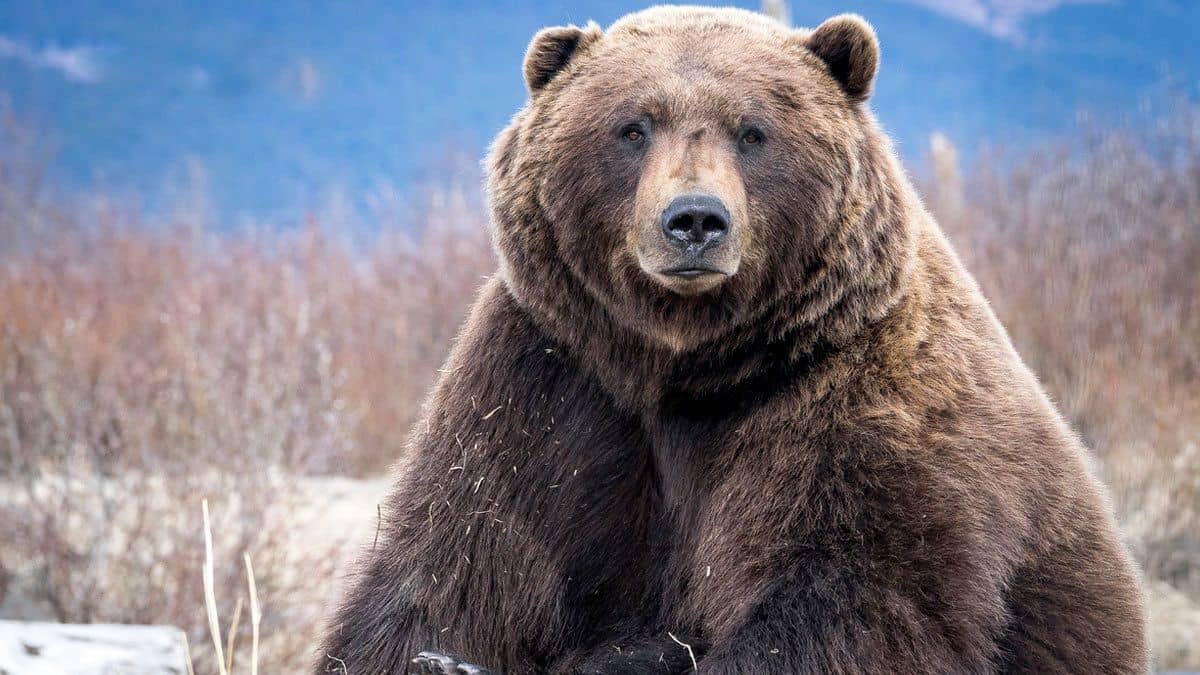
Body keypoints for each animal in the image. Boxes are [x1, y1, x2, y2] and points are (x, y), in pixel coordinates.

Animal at [316, 6, 1142, 672]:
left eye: (753, 131)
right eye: (633, 126)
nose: (694, 219)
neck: (685, 364)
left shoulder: (861, 414)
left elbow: (845, 602)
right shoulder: (552, 386)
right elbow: (453, 569)